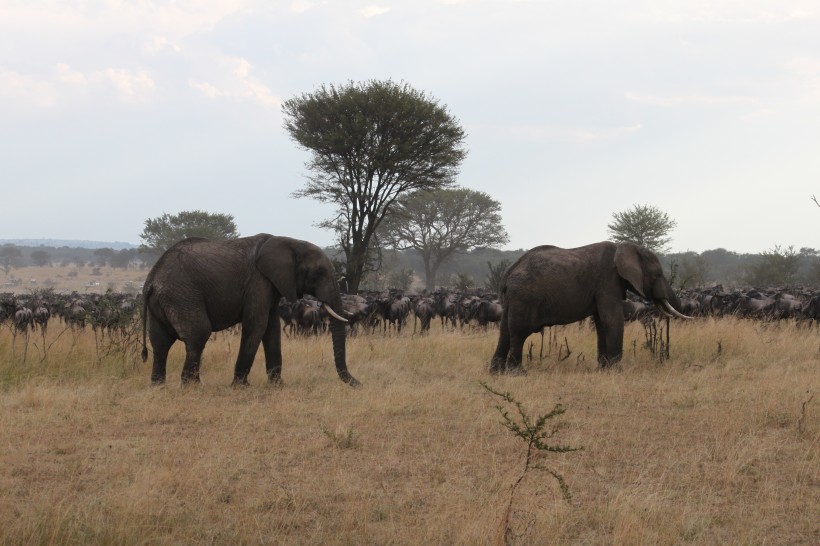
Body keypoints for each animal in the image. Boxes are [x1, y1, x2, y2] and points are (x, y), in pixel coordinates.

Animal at [142, 234, 358, 386]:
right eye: (318, 272)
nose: (358, 383)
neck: (289, 241)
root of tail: (151, 280)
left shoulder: (271, 285)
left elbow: (272, 329)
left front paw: (278, 385)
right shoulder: (258, 281)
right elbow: (257, 325)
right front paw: (240, 386)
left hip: (164, 300)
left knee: (160, 342)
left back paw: (158, 386)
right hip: (181, 295)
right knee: (198, 335)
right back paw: (192, 387)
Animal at [494, 240, 692, 372]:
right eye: (658, 274)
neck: (625, 247)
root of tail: (509, 273)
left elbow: (601, 323)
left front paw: (603, 370)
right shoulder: (607, 281)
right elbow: (611, 319)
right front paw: (616, 371)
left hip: (513, 299)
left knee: (505, 331)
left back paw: (496, 372)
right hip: (525, 296)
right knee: (519, 332)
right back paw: (518, 373)